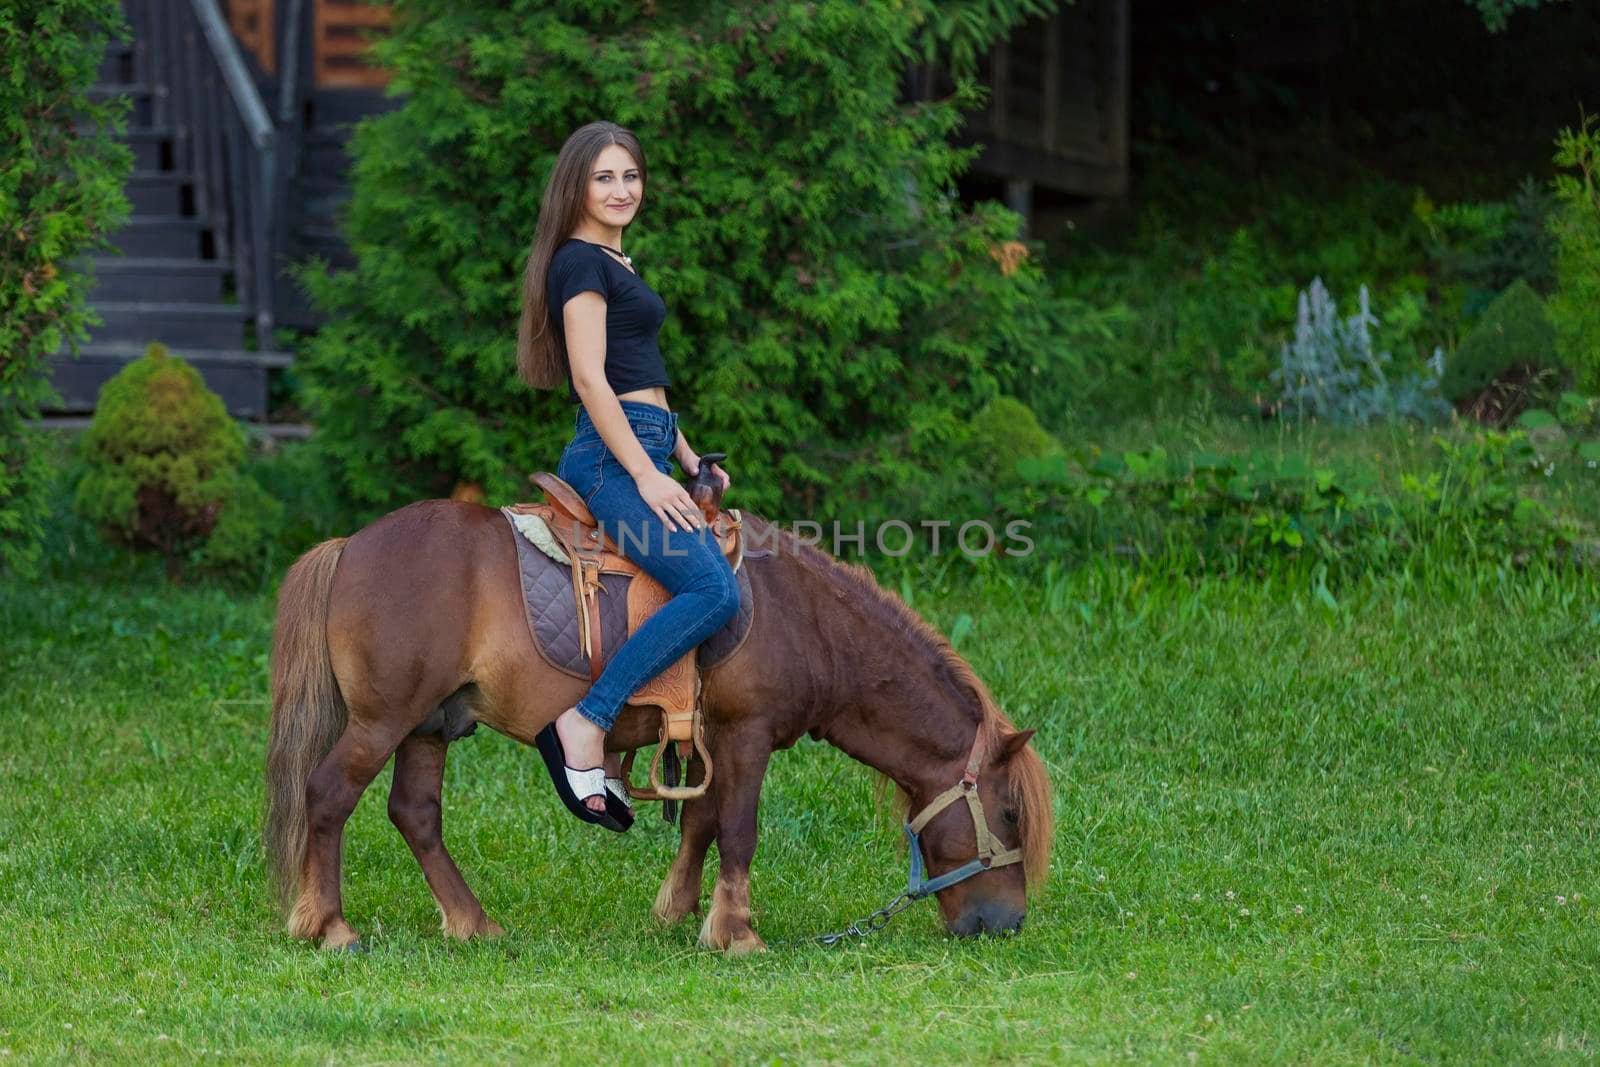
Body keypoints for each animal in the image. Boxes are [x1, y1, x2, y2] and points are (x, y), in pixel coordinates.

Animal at [268, 495, 1056, 953]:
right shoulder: (746, 733)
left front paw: (677, 911)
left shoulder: (710, 740)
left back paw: (472, 922)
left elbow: (701, 820)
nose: (1007, 924)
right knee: (329, 796)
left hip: (431, 724)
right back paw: (332, 926)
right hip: (384, 720)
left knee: (415, 813)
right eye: (1009, 814)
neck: (807, 622)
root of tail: (349, 545)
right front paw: (736, 933)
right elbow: (738, 827)